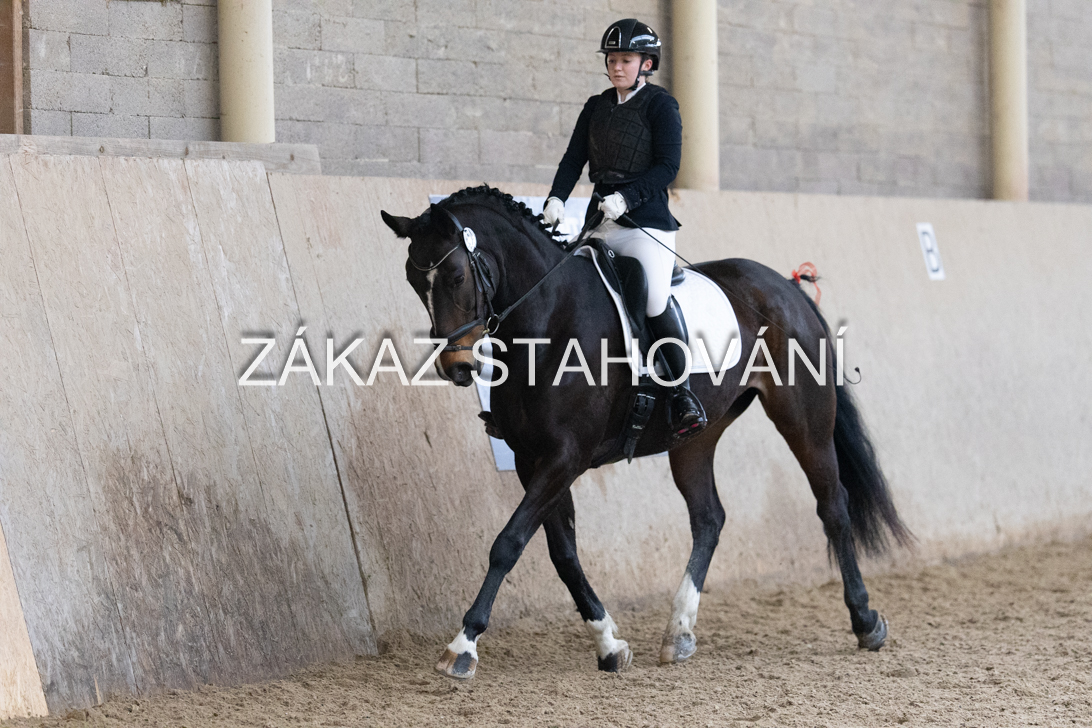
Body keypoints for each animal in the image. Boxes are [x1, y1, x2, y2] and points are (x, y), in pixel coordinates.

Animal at [380, 185, 911, 679]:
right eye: (412, 279)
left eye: (455, 276)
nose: (455, 367)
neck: (549, 319)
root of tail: (784, 284)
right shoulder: (534, 460)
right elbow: (563, 554)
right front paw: (609, 644)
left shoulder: (564, 458)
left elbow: (508, 543)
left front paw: (463, 645)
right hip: (696, 436)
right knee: (709, 518)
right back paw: (679, 632)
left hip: (803, 418)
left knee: (833, 506)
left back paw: (865, 621)